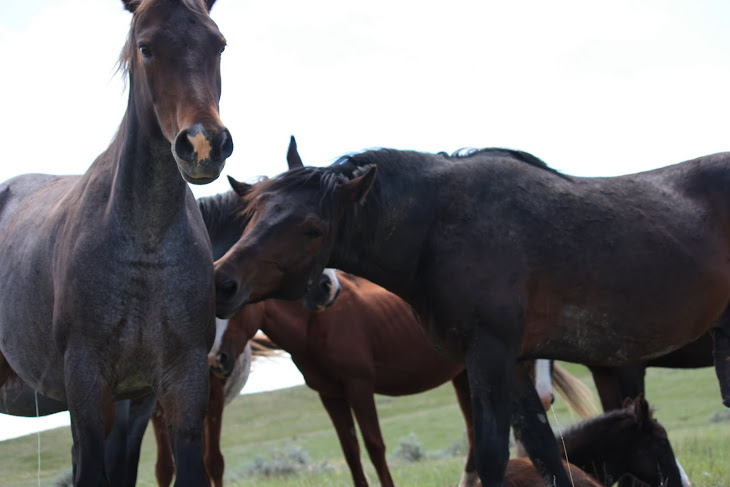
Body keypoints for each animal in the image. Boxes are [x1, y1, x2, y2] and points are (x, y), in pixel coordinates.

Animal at [0, 0, 232, 484]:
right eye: (146, 47)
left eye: (218, 44)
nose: (204, 144)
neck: (145, 251)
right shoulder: (87, 384)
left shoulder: (176, 384)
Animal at [212, 138, 728, 487]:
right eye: (252, 215)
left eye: (313, 229)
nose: (222, 282)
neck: (442, 228)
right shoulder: (511, 363)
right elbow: (545, 453)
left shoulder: (489, 356)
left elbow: (492, 455)